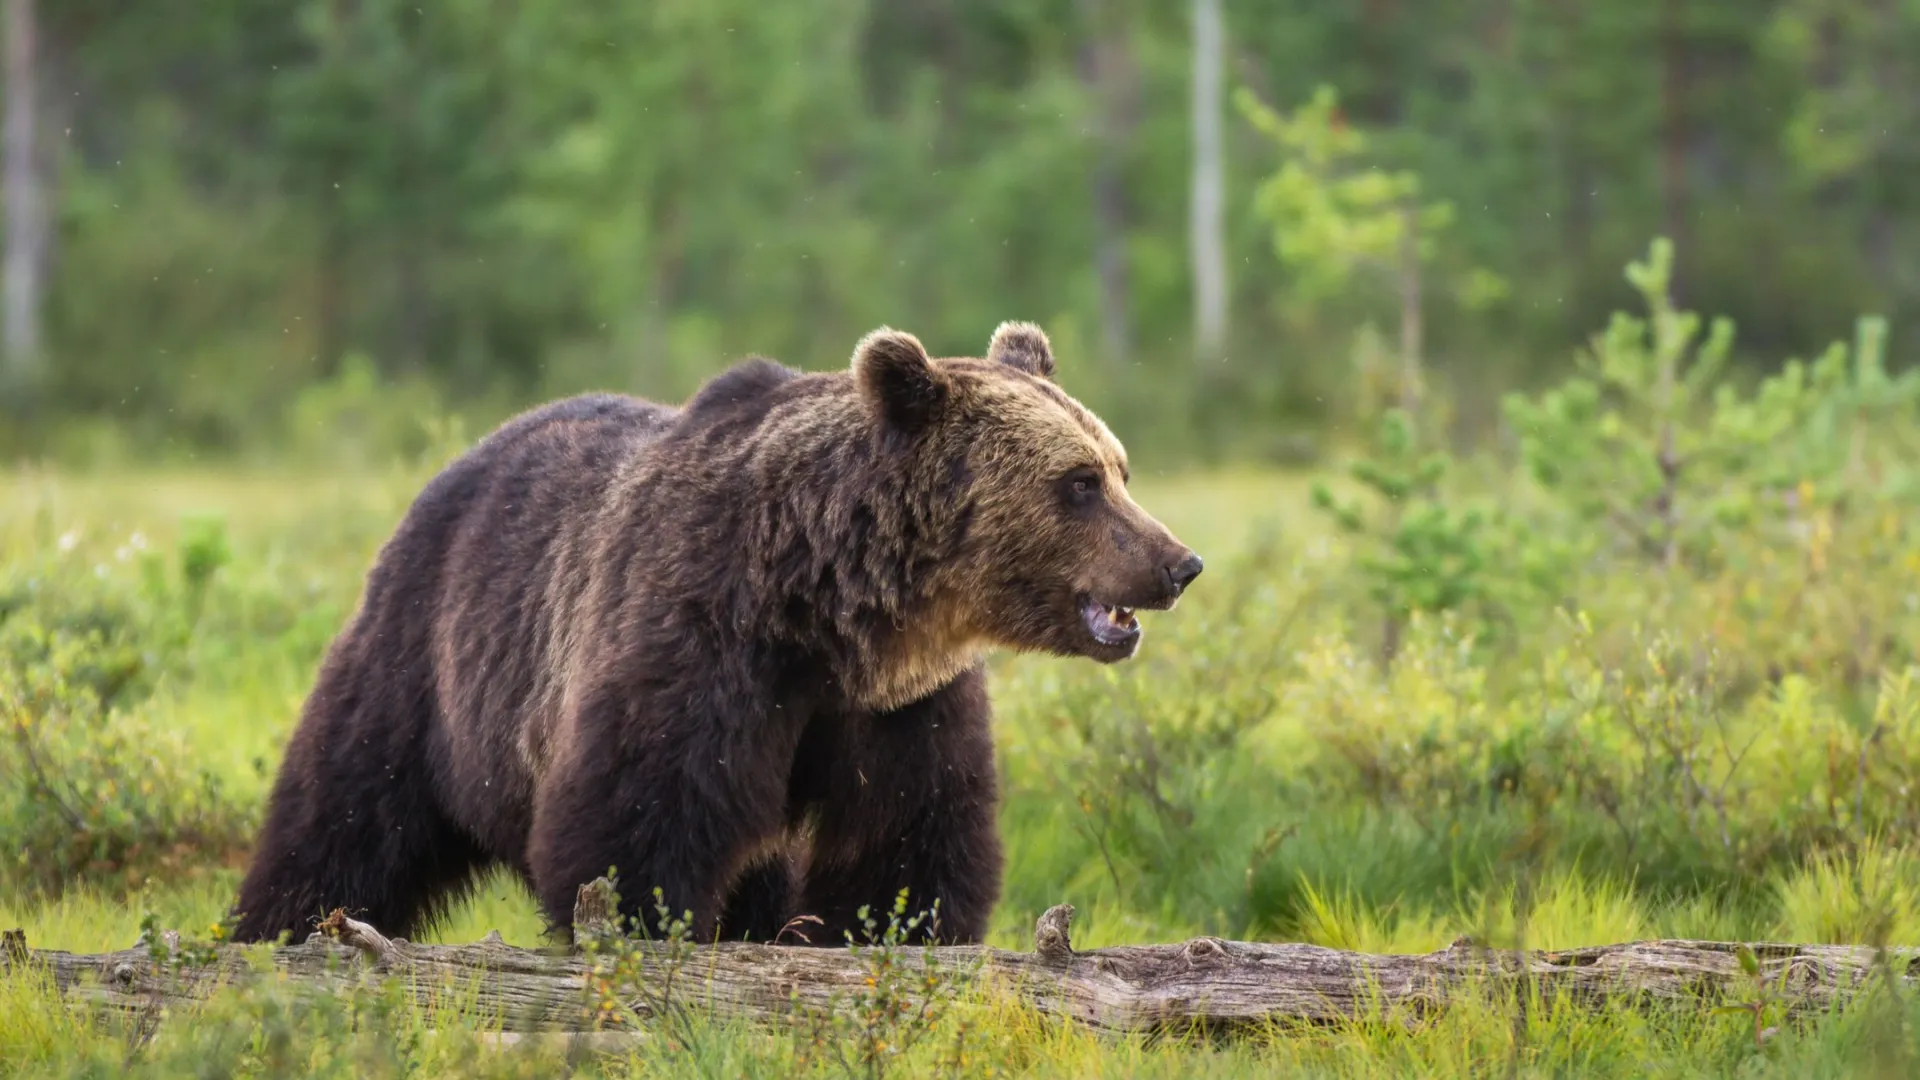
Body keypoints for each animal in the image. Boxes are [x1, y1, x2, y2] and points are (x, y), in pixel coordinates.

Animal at [232, 319, 1198, 941]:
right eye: (1078, 483)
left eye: (1118, 467)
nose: (1178, 563)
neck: (831, 611)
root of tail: (456, 465)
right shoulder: (698, 638)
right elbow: (639, 825)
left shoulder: (899, 706)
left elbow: (906, 837)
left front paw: (892, 934)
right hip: (430, 661)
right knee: (346, 816)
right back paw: (276, 932)